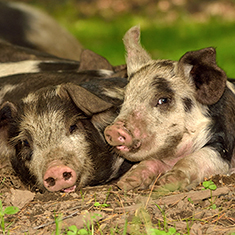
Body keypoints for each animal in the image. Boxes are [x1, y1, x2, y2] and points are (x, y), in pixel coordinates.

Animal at [104, 25, 235, 192]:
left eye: (163, 100)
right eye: (125, 99)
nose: (113, 129)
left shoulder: (223, 144)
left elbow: (195, 158)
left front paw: (168, 182)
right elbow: (150, 161)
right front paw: (128, 181)